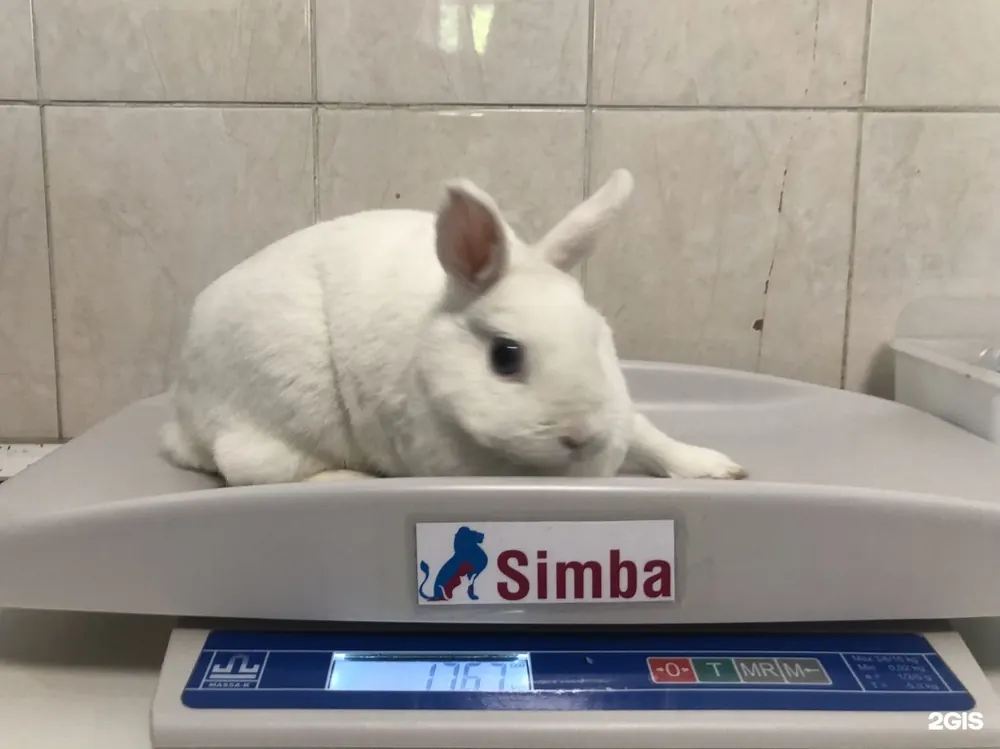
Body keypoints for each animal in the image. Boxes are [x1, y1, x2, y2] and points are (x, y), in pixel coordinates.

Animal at [161, 169, 748, 486]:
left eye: (598, 337)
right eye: (505, 355)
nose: (580, 435)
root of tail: (181, 416)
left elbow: (649, 433)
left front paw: (719, 468)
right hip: (282, 418)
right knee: (249, 470)